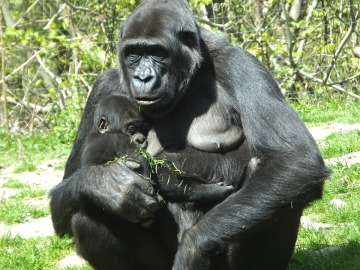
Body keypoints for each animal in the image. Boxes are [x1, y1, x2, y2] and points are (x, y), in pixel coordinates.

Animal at [49, 0, 330, 270]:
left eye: (157, 53)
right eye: (133, 54)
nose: (143, 77)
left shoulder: (242, 65)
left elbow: (295, 160)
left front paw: (193, 247)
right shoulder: (103, 87)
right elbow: (68, 193)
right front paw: (108, 184)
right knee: (87, 213)